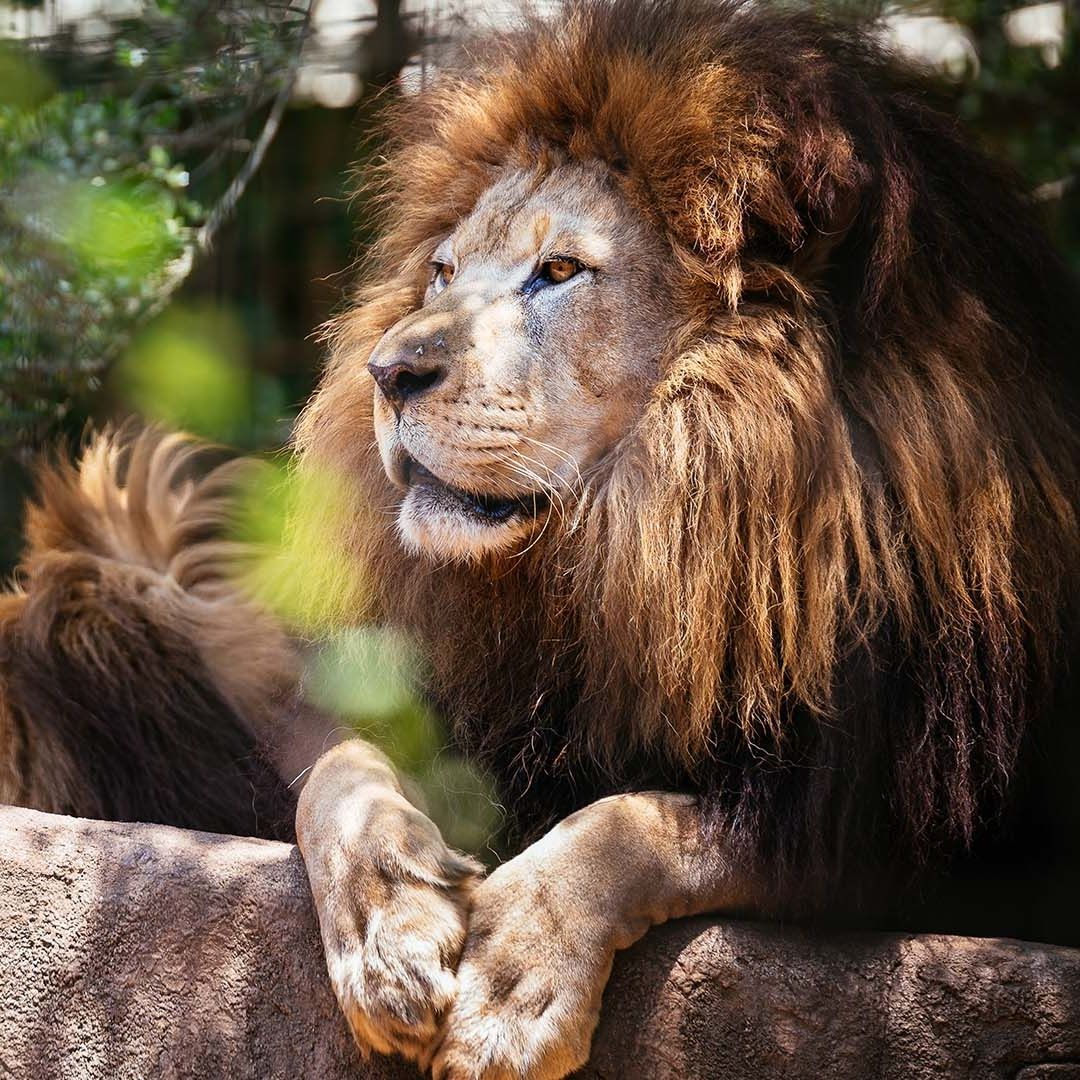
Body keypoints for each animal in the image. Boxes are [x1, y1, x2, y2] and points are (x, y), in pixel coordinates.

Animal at [2, 1, 1079, 1078]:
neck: (615, 550)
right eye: (442, 272)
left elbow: (644, 819)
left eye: (558, 271)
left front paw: (515, 983)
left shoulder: (900, 815)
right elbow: (339, 768)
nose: (387, 373)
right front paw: (388, 924)